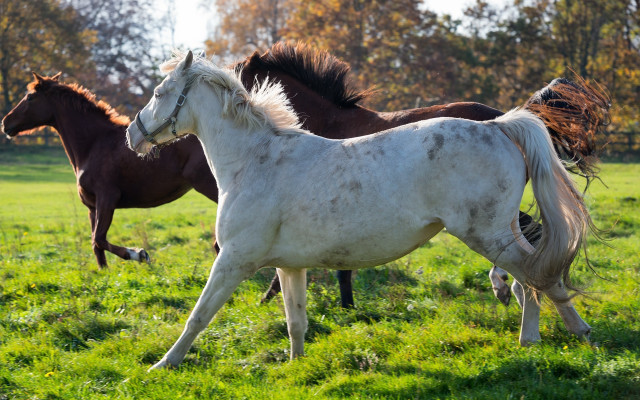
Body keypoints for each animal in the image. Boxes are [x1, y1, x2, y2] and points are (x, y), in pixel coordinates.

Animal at [1, 72, 218, 267]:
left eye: (30, 97)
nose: (5, 123)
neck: (93, 144)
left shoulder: (108, 198)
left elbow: (99, 239)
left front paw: (139, 254)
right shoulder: (92, 207)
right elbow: (96, 246)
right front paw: (103, 275)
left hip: (209, 186)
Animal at [235, 42, 610, 308]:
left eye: (238, 76)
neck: (330, 123)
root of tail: (505, 120)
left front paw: (284, 298)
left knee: (528, 234)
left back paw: (506, 287)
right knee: (530, 232)